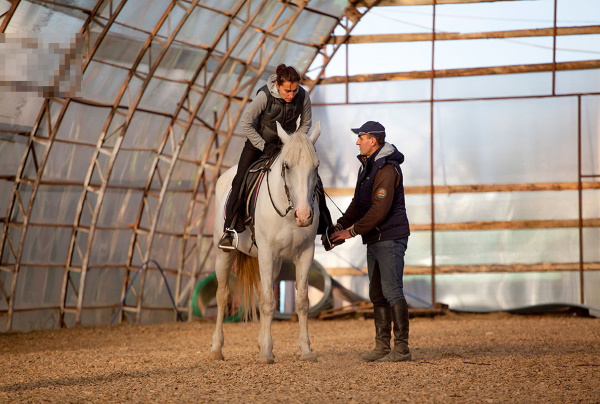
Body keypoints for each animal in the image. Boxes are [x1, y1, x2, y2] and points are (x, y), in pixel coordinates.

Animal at [211, 121, 324, 364]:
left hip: (276, 263)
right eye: (287, 166)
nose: (304, 216)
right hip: (225, 254)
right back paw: (216, 349)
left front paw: (306, 351)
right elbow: (267, 303)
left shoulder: (305, 253)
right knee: (223, 296)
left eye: (316, 166)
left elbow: (302, 301)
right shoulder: (266, 252)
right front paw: (265, 354)